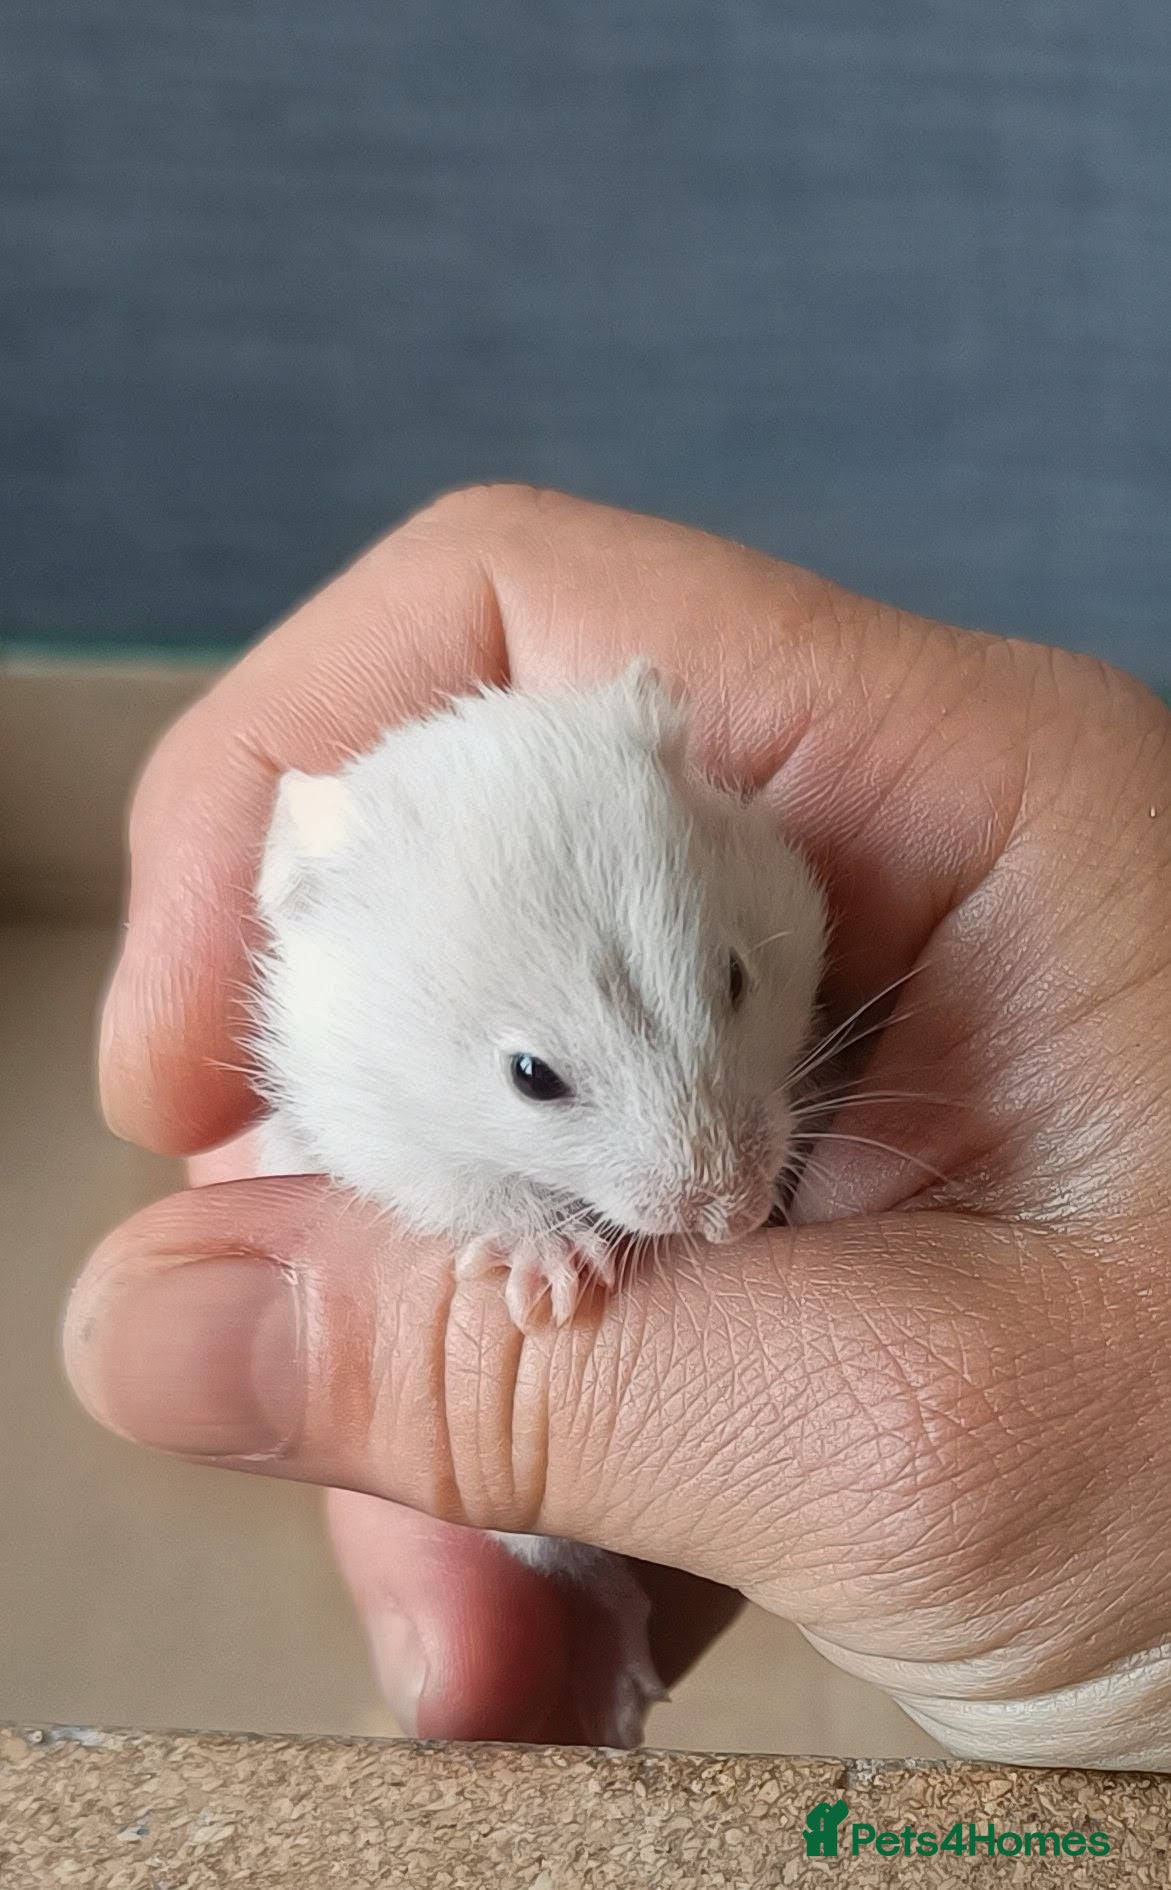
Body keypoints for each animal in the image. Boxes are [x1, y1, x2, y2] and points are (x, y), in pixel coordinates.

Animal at [250, 660, 828, 1747]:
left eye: (735, 978)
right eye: (530, 1078)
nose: (729, 1216)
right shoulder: (380, 1136)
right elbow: (473, 1194)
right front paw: (557, 1272)